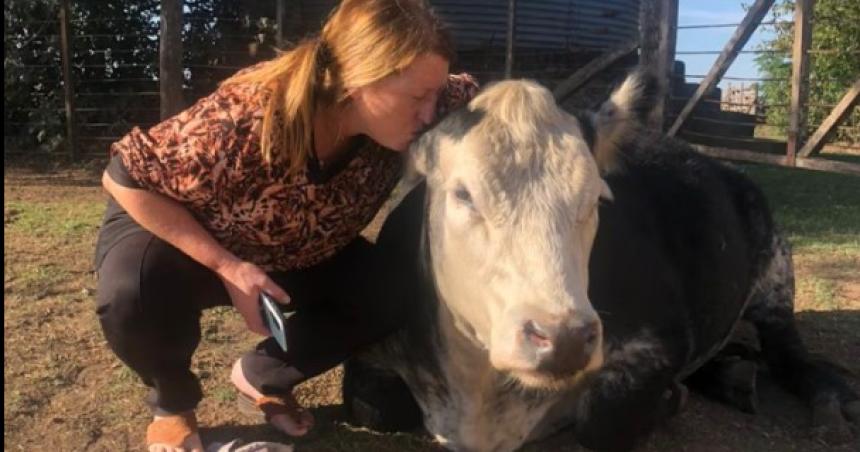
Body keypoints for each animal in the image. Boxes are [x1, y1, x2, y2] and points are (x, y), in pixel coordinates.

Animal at [340, 72, 856, 450]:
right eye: (463, 194)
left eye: (596, 199)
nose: (564, 338)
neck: (482, 401)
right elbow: (375, 406)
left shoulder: (661, 337)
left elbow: (603, 422)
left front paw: (669, 398)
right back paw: (732, 373)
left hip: (776, 275)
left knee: (793, 358)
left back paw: (828, 408)